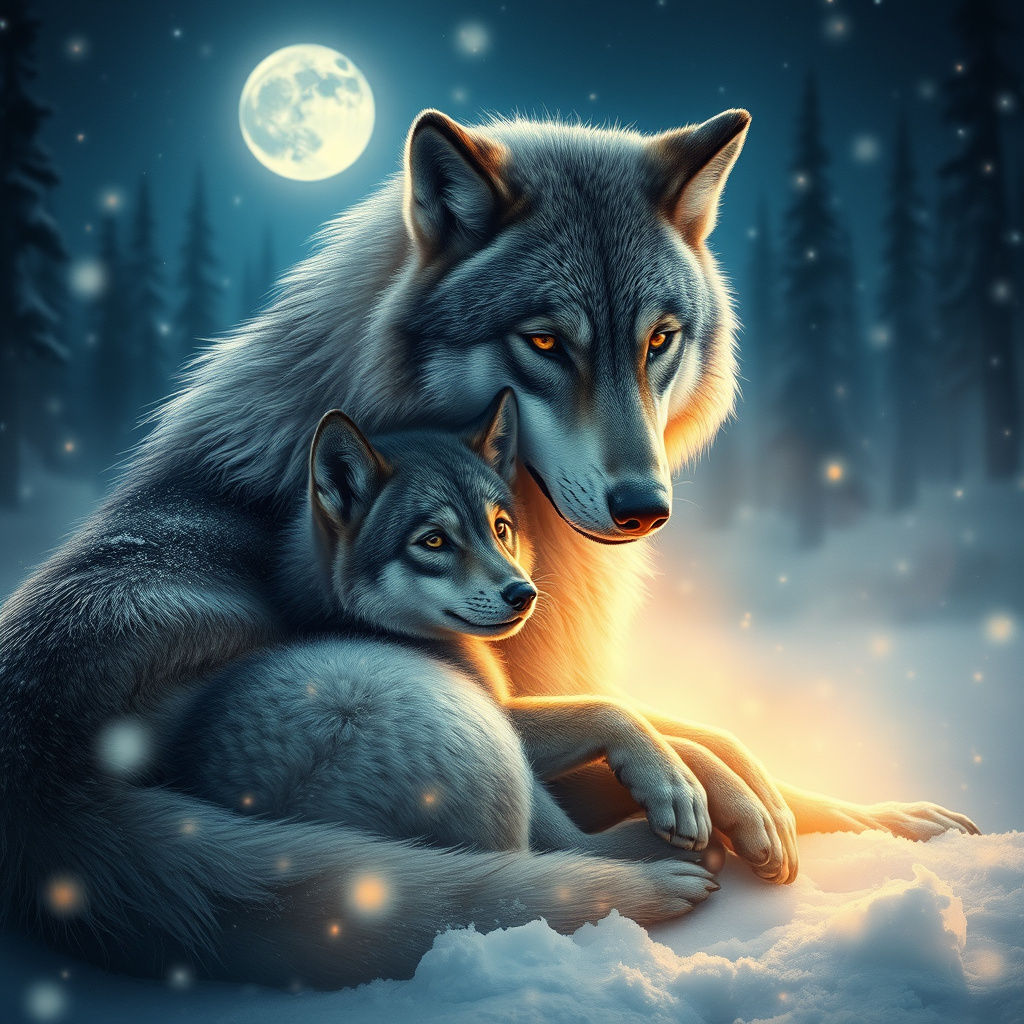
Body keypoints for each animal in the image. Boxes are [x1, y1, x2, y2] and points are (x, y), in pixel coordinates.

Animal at [160, 391, 718, 874]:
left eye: (500, 528)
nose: (523, 594)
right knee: (568, 850)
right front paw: (675, 787)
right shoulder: (508, 716)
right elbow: (607, 709)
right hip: (489, 741)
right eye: (433, 541)